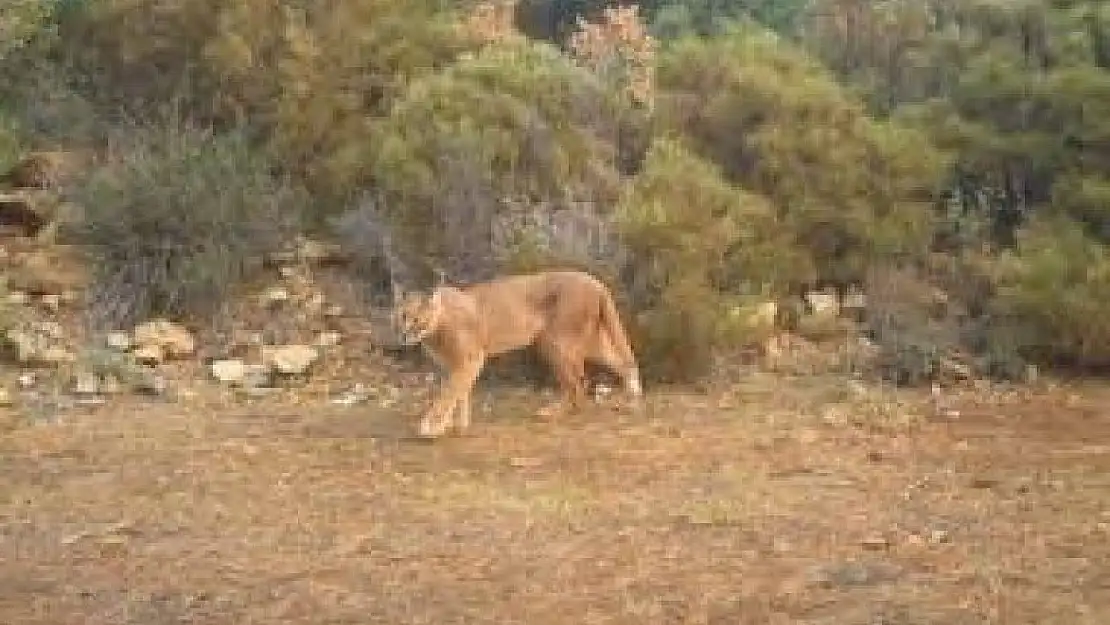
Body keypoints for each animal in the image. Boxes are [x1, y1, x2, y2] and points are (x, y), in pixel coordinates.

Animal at [395, 271, 648, 437]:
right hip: (590, 342)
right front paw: (457, 425)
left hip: (556, 342)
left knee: (578, 384)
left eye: (417, 319)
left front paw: (431, 427)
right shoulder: (456, 365)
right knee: (624, 363)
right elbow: (460, 393)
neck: (437, 326)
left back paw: (553, 413)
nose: (403, 333)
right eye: (401, 315)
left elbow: (448, 394)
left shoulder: (470, 359)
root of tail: (594, 281)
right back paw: (633, 399)